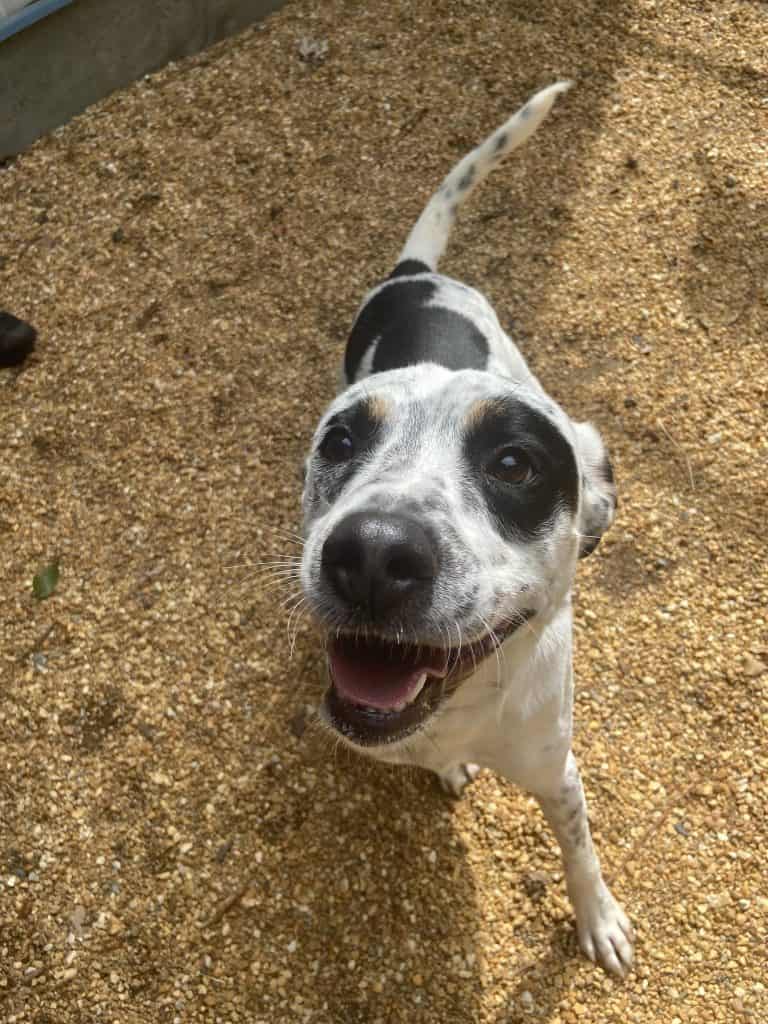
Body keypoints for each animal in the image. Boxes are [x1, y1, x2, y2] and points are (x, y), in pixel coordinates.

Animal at [299, 82, 634, 976]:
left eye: (516, 463)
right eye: (339, 444)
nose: (372, 554)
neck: (467, 705)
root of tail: (416, 274)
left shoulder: (558, 770)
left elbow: (579, 847)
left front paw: (598, 918)